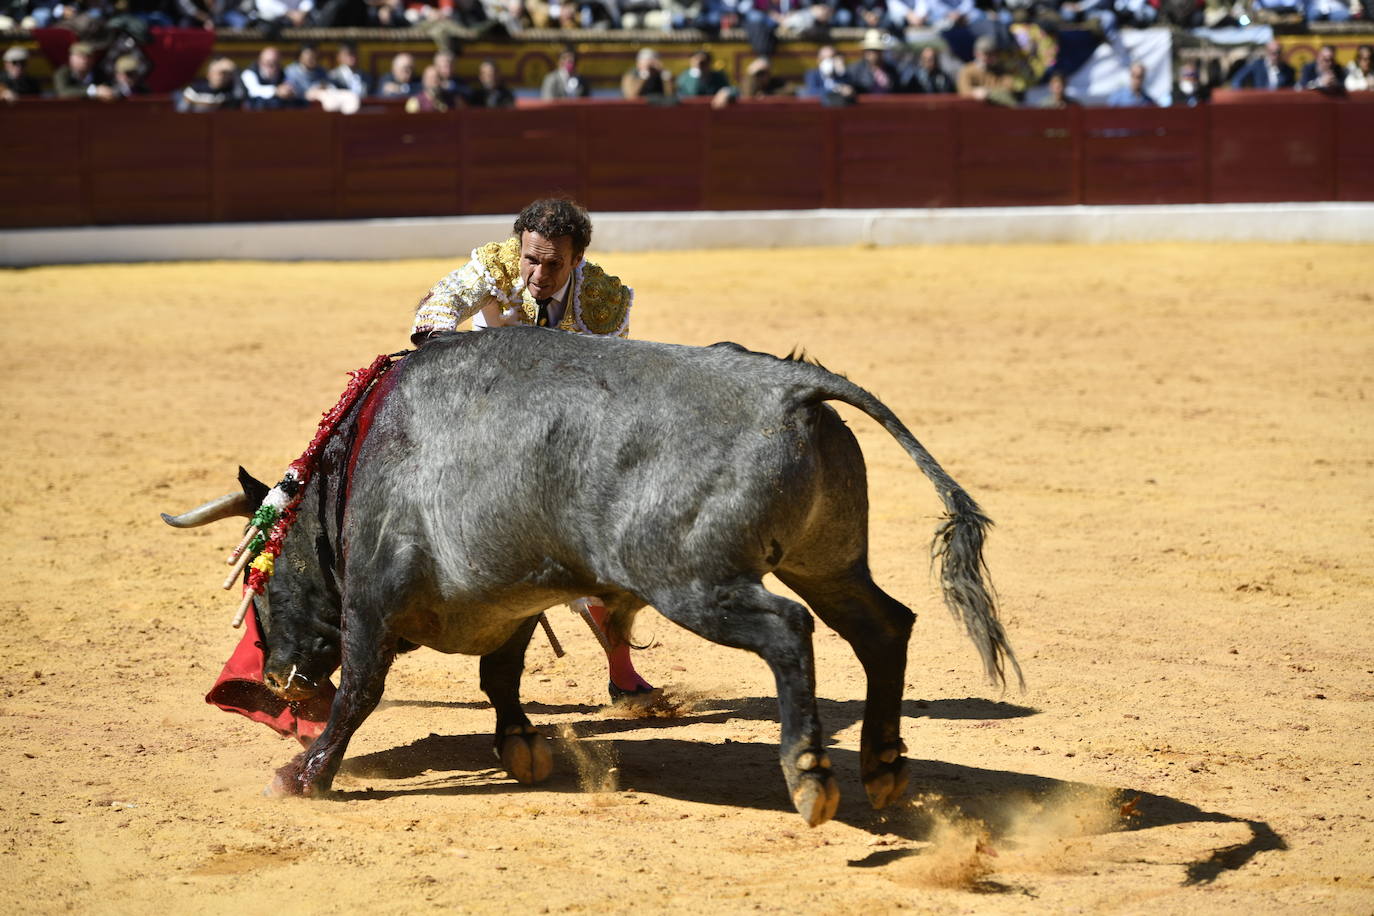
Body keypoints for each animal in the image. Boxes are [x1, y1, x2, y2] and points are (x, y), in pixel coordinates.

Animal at [163, 330, 1022, 829]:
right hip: (829, 562)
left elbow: (360, 693)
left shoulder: (374, 600)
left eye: (261, 589)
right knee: (885, 625)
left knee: (790, 631)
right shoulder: (507, 597)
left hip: (695, 581)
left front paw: (302, 774)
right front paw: (521, 749)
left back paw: (810, 778)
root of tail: (795, 387)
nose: (276, 681)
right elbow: (501, 676)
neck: (352, 475)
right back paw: (881, 767)